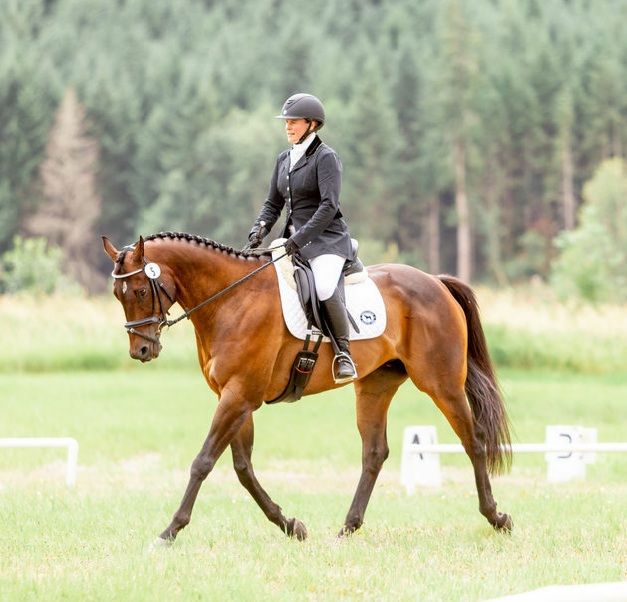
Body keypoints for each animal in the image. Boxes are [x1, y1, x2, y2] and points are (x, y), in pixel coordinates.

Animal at [103, 232, 512, 540]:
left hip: (442, 384)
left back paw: (496, 517)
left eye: (140, 291)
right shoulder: (234, 397)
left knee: (474, 441)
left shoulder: (239, 396)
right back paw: (348, 528)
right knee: (374, 453)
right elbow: (243, 468)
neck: (232, 299)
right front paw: (290, 525)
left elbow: (203, 462)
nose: (141, 350)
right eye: (117, 295)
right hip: (375, 386)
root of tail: (436, 282)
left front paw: (170, 530)